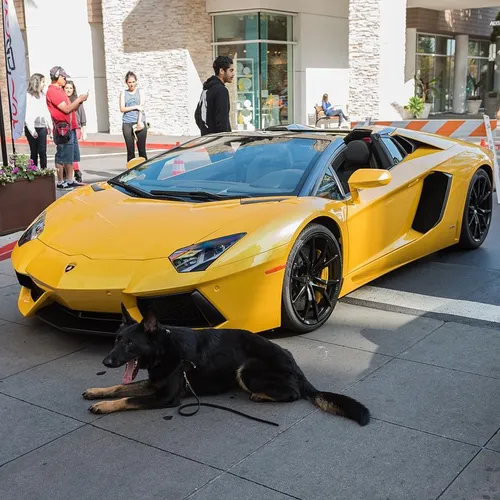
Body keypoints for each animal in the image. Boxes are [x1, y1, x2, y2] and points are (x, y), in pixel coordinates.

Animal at [82, 304, 370, 426]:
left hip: (248, 367)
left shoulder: (165, 397)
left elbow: (127, 398)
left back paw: (261, 395)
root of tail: (296, 366)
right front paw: (98, 392)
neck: (164, 348)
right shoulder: (154, 383)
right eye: (116, 340)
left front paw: (104, 406)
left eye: (130, 344)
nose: (106, 361)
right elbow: (120, 387)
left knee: (293, 393)